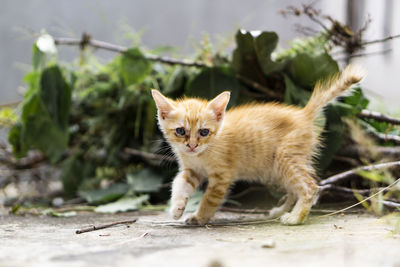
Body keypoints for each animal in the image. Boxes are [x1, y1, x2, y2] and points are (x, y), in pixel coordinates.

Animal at [152, 65, 364, 226]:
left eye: (204, 132)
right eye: (180, 131)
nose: (192, 145)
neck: (200, 155)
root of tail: (302, 114)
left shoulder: (222, 176)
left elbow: (209, 200)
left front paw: (199, 217)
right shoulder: (191, 171)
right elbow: (178, 183)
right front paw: (177, 207)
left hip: (285, 158)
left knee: (310, 187)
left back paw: (296, 218)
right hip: (277, 169)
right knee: (294, 189)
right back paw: (281, 211)